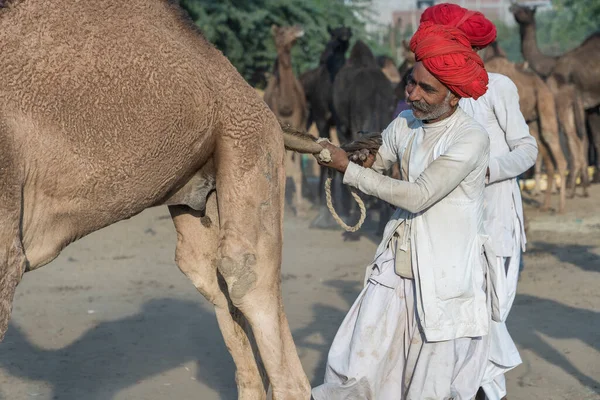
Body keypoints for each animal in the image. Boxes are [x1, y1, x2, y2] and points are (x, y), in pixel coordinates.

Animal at [482, 41, 568, 212]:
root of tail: (543, 85)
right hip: (533, 122)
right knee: (545, 153)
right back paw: (545, 206)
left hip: (545, 103)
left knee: (553, 146)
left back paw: (561, 207)